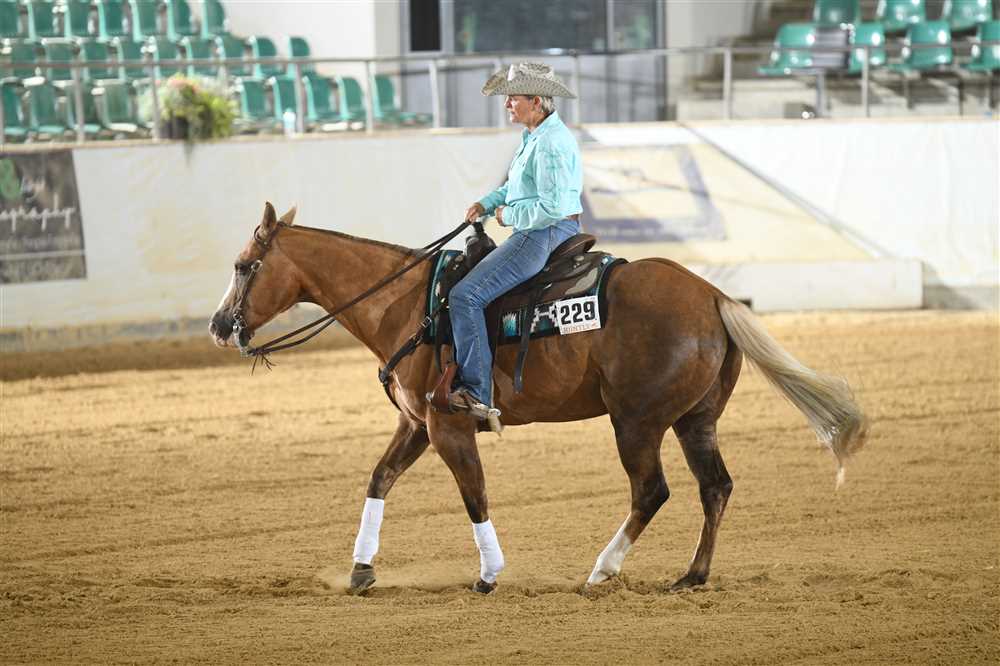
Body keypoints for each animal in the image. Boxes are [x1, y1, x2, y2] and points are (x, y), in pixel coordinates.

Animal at [209, 202, 868, 594]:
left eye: (243, 266)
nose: (219, 325)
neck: (412, 305)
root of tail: (711, 294)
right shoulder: (417, 425)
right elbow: (379, 480)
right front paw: (361, 569)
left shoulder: (449, 427)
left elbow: (474, 495)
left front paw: (489, 574)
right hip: (693, 420)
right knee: (715, 487)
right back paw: (692, 575)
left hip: (637, 422)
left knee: (652, 491)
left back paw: (602, 570)